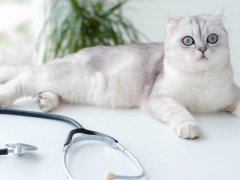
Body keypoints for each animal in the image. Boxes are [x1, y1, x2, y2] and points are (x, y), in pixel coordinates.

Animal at [0, 10, 240, 139]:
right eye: (188, 41)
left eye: (212, 38)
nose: (202, 49)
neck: (202, 81)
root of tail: (72, 54)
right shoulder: (161, 98)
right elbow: (180, 112)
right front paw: (190, 127)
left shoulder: (233, 94)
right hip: (62, 77)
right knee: (24, 78)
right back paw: (6, 98)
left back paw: (45, 101)